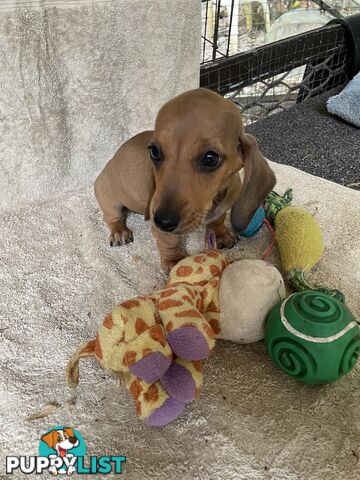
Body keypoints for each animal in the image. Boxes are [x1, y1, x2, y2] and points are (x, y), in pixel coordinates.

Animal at [94, 88, 274, 272]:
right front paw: (174, 260)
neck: (213, 199)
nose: (162, 221)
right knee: (111, 218)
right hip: (110, 200)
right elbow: (169, 240)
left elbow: (218, 219)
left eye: (210, 158)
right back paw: (119, 231)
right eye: (154, 151)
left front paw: (220, 233)